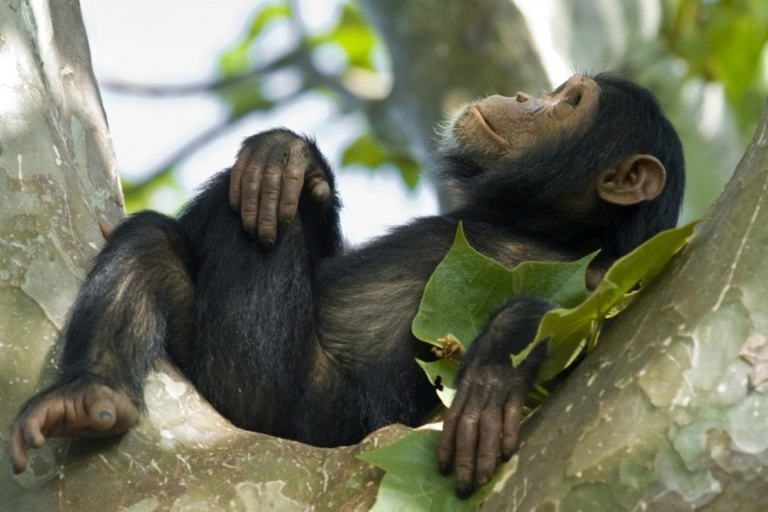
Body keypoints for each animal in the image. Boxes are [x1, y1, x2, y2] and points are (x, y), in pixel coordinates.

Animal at [10, 72, 684, 496]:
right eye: (556, 93)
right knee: (157, 239)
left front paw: (494, 375)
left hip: (270, 393)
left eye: (570, 103)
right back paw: (89, 393)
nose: (526, 95)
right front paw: (286, 157)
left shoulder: (611, 274)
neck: (545, 226)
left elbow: (581, 322)